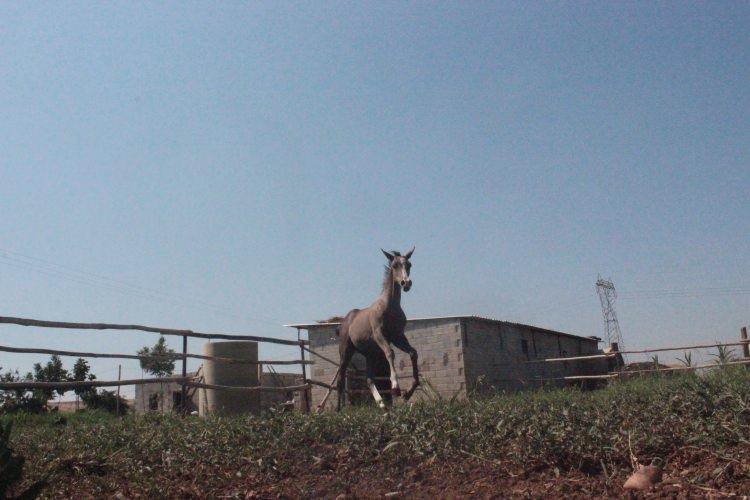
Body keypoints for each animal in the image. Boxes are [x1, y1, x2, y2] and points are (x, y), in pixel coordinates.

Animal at [318, 248, 420, 412]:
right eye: (395, 265)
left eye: (409, 264)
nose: (406, 283)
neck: (390, 306)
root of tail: (343, 323)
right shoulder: (379, 334)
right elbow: (390, 353)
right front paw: (396, 388)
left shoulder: (398, 336)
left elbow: (413, 353)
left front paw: (408, 393)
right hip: (345, 352)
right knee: (340, 379)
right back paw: (339, 410)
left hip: (370, 354)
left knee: (369, 379)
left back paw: (382, 405)